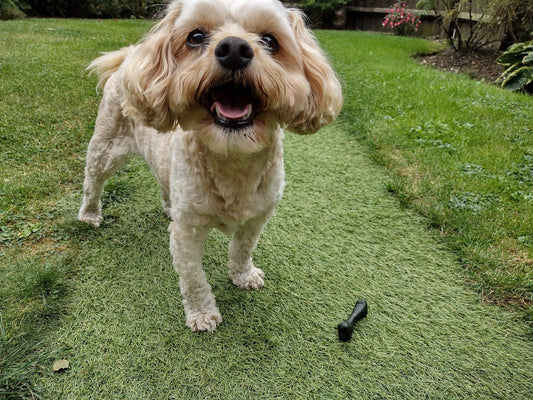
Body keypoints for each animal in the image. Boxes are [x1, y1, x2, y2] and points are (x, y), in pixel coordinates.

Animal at [78, 0, 342, 332]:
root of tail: (129, 58)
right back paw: (89, 215)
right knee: (93, 180)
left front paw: (243, 275)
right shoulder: (187, 232)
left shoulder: (259, 216)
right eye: (195, 36)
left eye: (270, 40)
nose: (234, 49)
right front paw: (202, 313)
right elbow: (193, 278)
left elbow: (242, 249)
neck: (232, 157)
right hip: (106, 145)